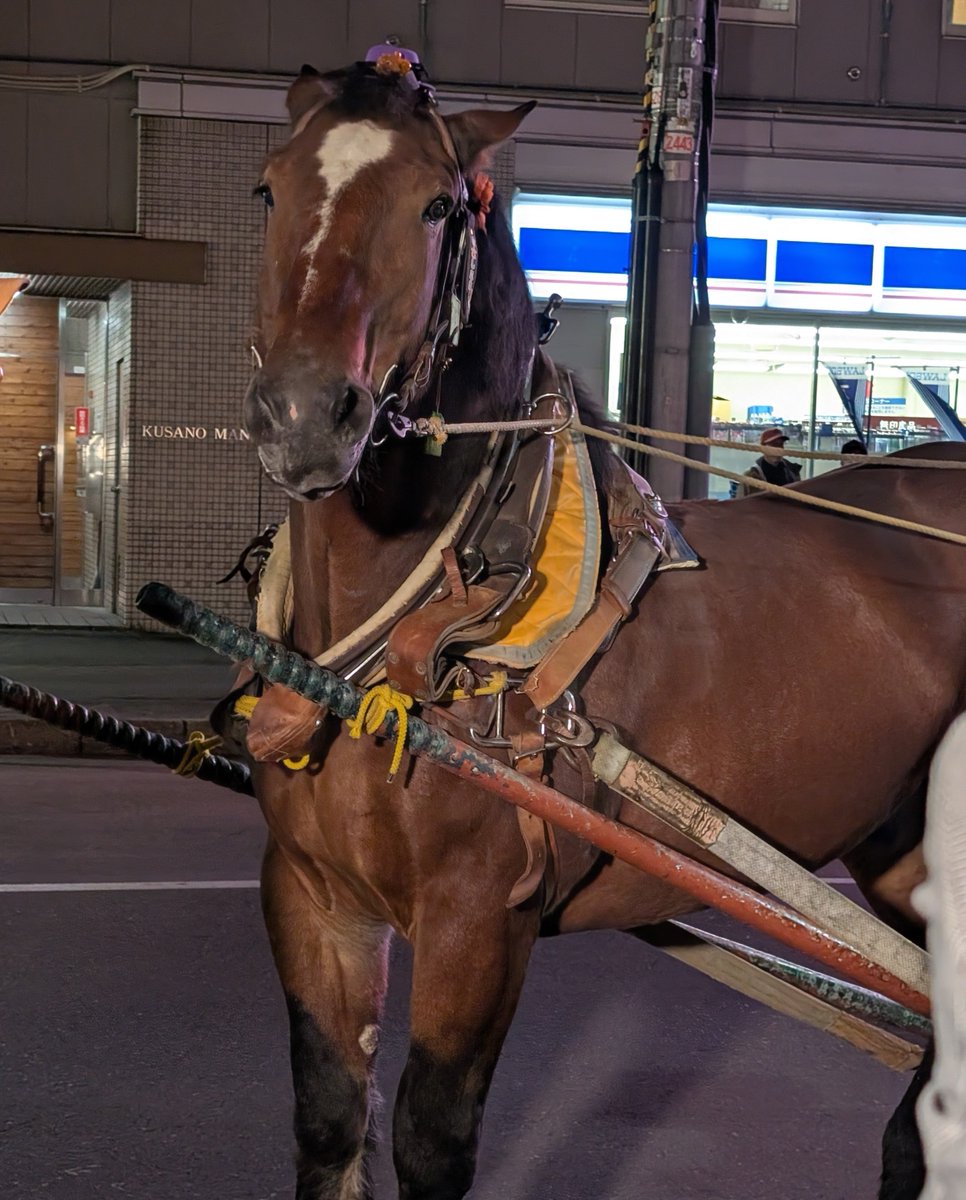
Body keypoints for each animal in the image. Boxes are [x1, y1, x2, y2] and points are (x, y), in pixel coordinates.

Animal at [239, 56, 964, 1200]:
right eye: (270, 189)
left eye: (436, 205)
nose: (307, 416)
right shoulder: (313, 899)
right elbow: (329, 1124)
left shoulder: (478, 922)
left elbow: (431, 1141)